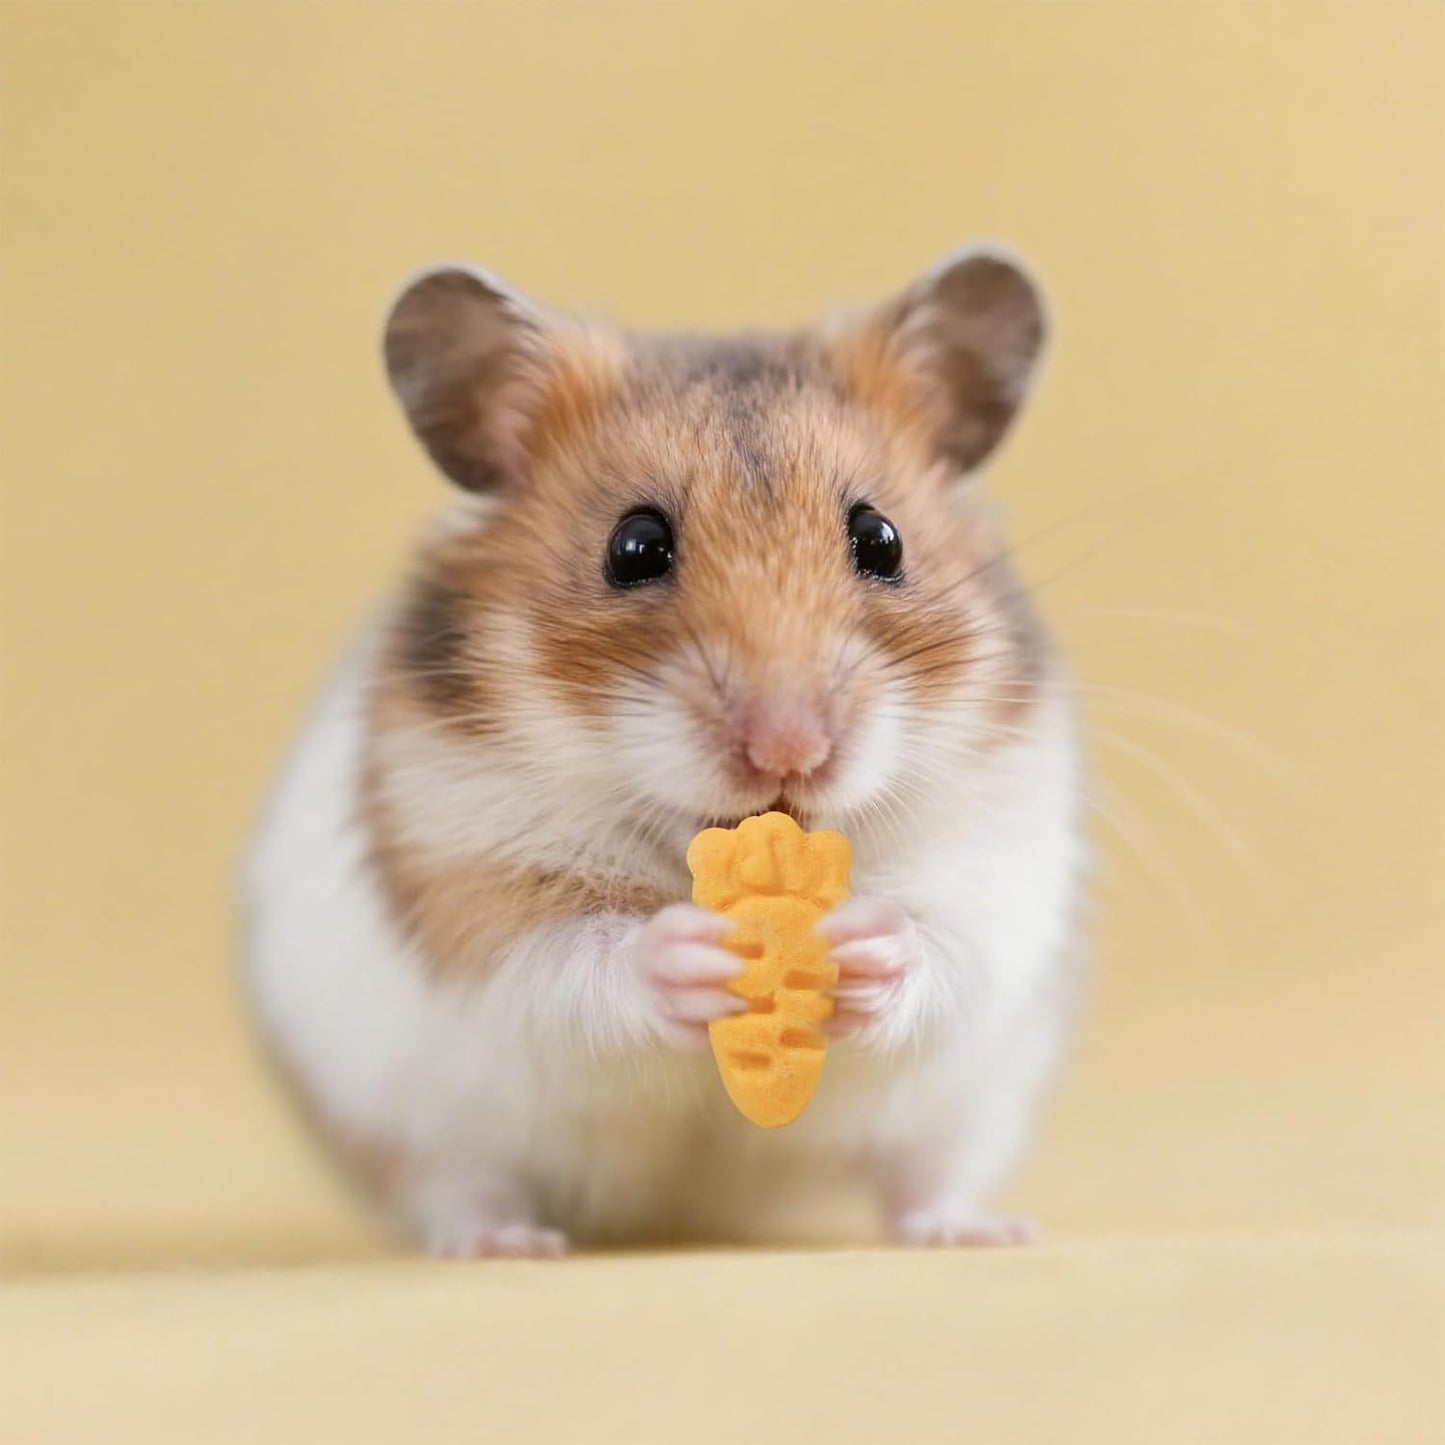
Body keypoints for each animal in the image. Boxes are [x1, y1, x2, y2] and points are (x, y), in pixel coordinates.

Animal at [240, 247, 1086, 1257]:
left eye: (880, 538)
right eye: (634, 545)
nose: (790, 747)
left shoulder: (1000, 852)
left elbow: (947, 938)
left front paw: (860, 943)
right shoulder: (464, 868)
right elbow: (570, 958)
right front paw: (690, 953)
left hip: (972, 1105)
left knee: (927, 1175)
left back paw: (978, 1233)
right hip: (406, 1118)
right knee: (456, 1182)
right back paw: (502, 1243)